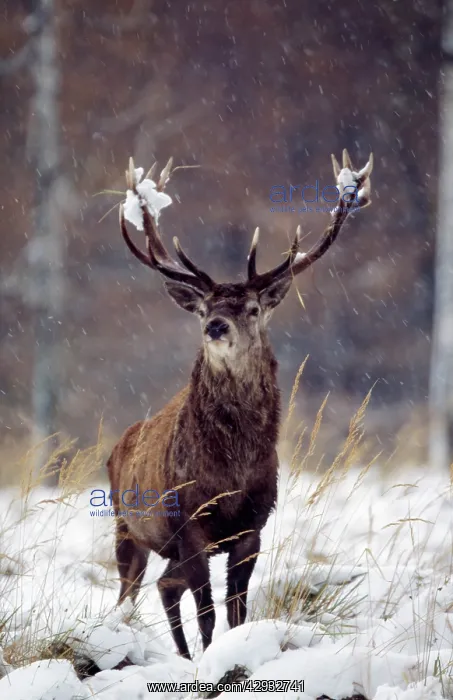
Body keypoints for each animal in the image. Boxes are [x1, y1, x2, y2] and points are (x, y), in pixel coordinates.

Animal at [107, 150, 373, 660]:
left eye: (252, 308)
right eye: (203, 308)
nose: (215, 325)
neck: (230, 472)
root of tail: (117, 445)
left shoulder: (252, 527)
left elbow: (236, 611)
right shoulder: (190, 526)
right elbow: (208, 612)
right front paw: (209, 660)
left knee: (165, 587)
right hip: (127, 527)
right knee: (132, 592)